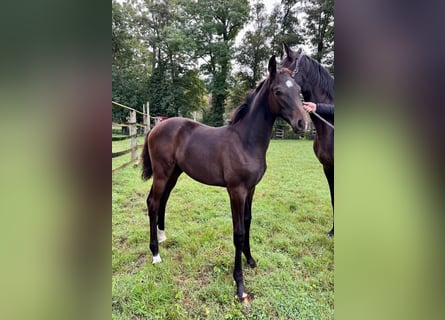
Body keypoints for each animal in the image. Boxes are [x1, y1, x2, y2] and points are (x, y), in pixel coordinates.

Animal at [140, 56, 306, 302]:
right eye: (278, 91)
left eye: (298, 90)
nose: (303, 123)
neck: (245, 141)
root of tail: (155, 127)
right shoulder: (236, 190)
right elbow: (238, 233)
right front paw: (240, 285)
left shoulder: (251, 189)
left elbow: (248, 222)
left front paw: (250, 260)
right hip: (162, 173)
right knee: (152, 202)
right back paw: (155, 254)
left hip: (174, 174)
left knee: (162, 201)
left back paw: (161, 237)